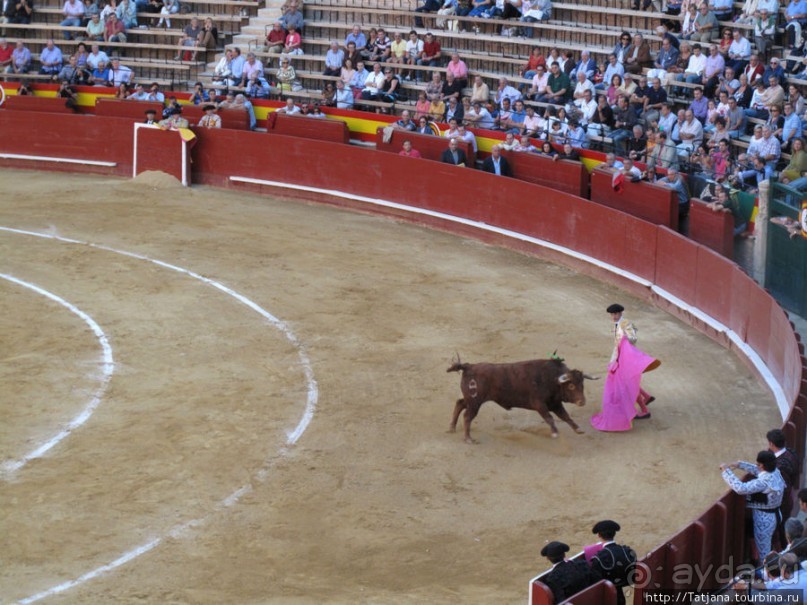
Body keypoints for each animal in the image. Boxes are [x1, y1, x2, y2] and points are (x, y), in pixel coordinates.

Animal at [446, 356, 596, 442]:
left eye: (582, 384)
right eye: (571, 385)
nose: (582, 402)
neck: (551, 379)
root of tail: (469, 366)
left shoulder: (555, 404)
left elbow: (565, 416)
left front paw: (578, 429)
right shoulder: (539, 404)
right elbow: (549, 418)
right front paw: (555, 433)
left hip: (471, 400)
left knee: (459, 404)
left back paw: (452, 428)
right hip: (475, 402)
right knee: (467, 416)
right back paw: (468, 438)